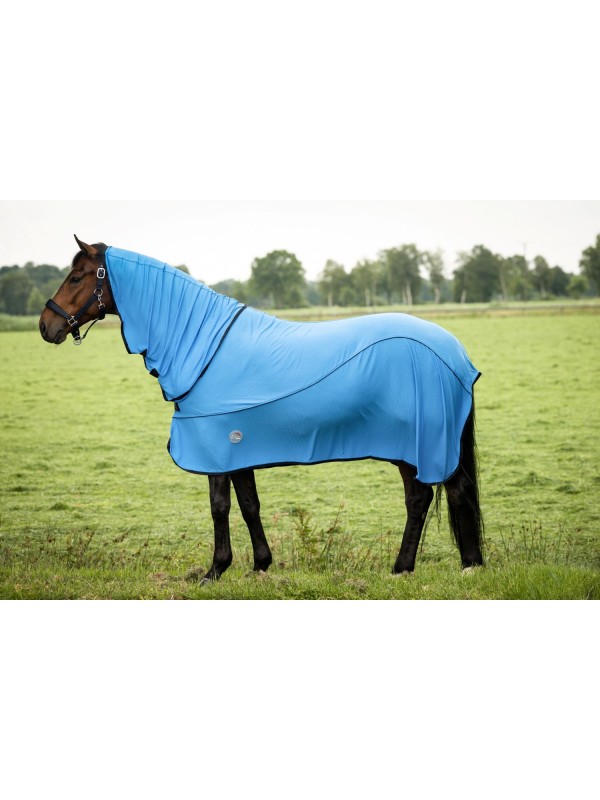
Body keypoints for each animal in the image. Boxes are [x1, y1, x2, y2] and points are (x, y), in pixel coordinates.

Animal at [39, 236, 484, 582]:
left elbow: (219, 507)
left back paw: (422, 567)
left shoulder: (214, 446)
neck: (205, 347)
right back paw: (449, 565)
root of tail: (457, 354)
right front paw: (259, 566)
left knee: (427, 496)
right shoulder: (238, 446)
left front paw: (214, 570)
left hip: (419, 445)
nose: (46, 325)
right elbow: (249, 505)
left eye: (77, 276)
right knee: (441, 495)